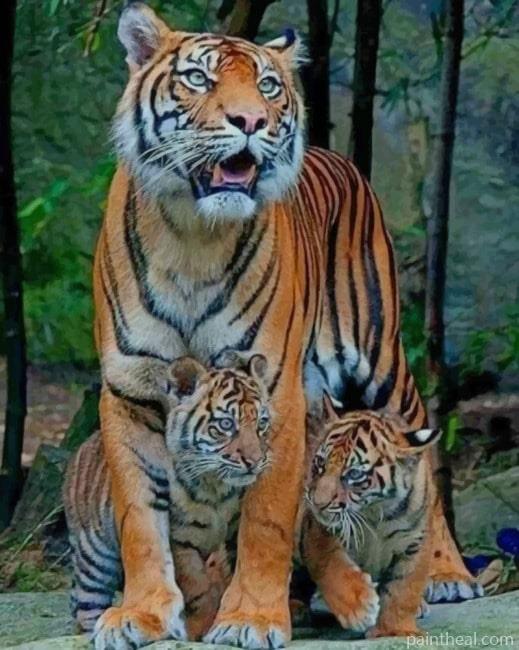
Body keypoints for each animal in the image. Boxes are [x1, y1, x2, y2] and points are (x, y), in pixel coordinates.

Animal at [63, 352, 271, 645]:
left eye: (261, 423)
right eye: (226, 425)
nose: (255, 461)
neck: (216, 486)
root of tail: (83, 445)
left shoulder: (233, 532)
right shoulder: (179, 539)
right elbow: (197, 585)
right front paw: (202, 623)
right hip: (93, 556)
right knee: (84, 604)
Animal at [302, 399, 443, 637]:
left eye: (354, 474)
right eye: (320, 463)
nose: (318, 504)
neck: (376, 512)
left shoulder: (416, 543)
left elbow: (403, 589)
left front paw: (395, 630)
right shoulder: (319, 533)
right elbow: (332, 566)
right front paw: (360, 609)